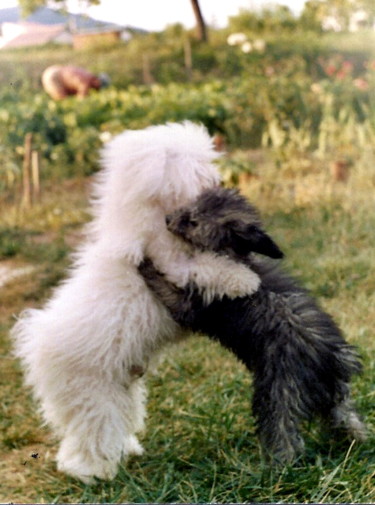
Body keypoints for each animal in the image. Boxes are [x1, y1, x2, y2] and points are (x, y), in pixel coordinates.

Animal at [11, 121, 260, 480]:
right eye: (198, 168)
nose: (218, 180)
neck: (150, 218)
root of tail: (36, 344)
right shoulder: (172, 262)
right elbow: (206, 266)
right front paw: (245, 280)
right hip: (92, 393)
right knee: (92, 433)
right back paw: (92, 472)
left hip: (119, 390)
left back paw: (124, 452)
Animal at [140, 187, 368, 462]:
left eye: (192, 221)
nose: (167, 218)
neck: (231, 256)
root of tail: (327, 360)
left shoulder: (192, 304)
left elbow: (164, 286)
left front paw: (145, 261)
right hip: (336, 397)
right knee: (348, 418)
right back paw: (359, 443)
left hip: (278, 393)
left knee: (282, 433)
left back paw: (279, 467)